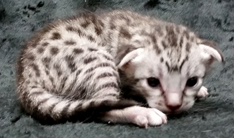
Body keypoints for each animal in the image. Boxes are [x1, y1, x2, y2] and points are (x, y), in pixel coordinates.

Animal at [16, 10, 223, 128]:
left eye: (192, 81)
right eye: (153, 82)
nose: (174, 106)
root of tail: (25, 76)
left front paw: (200, 91)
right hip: (98, 63)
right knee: (101, 108)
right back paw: (142, 113)